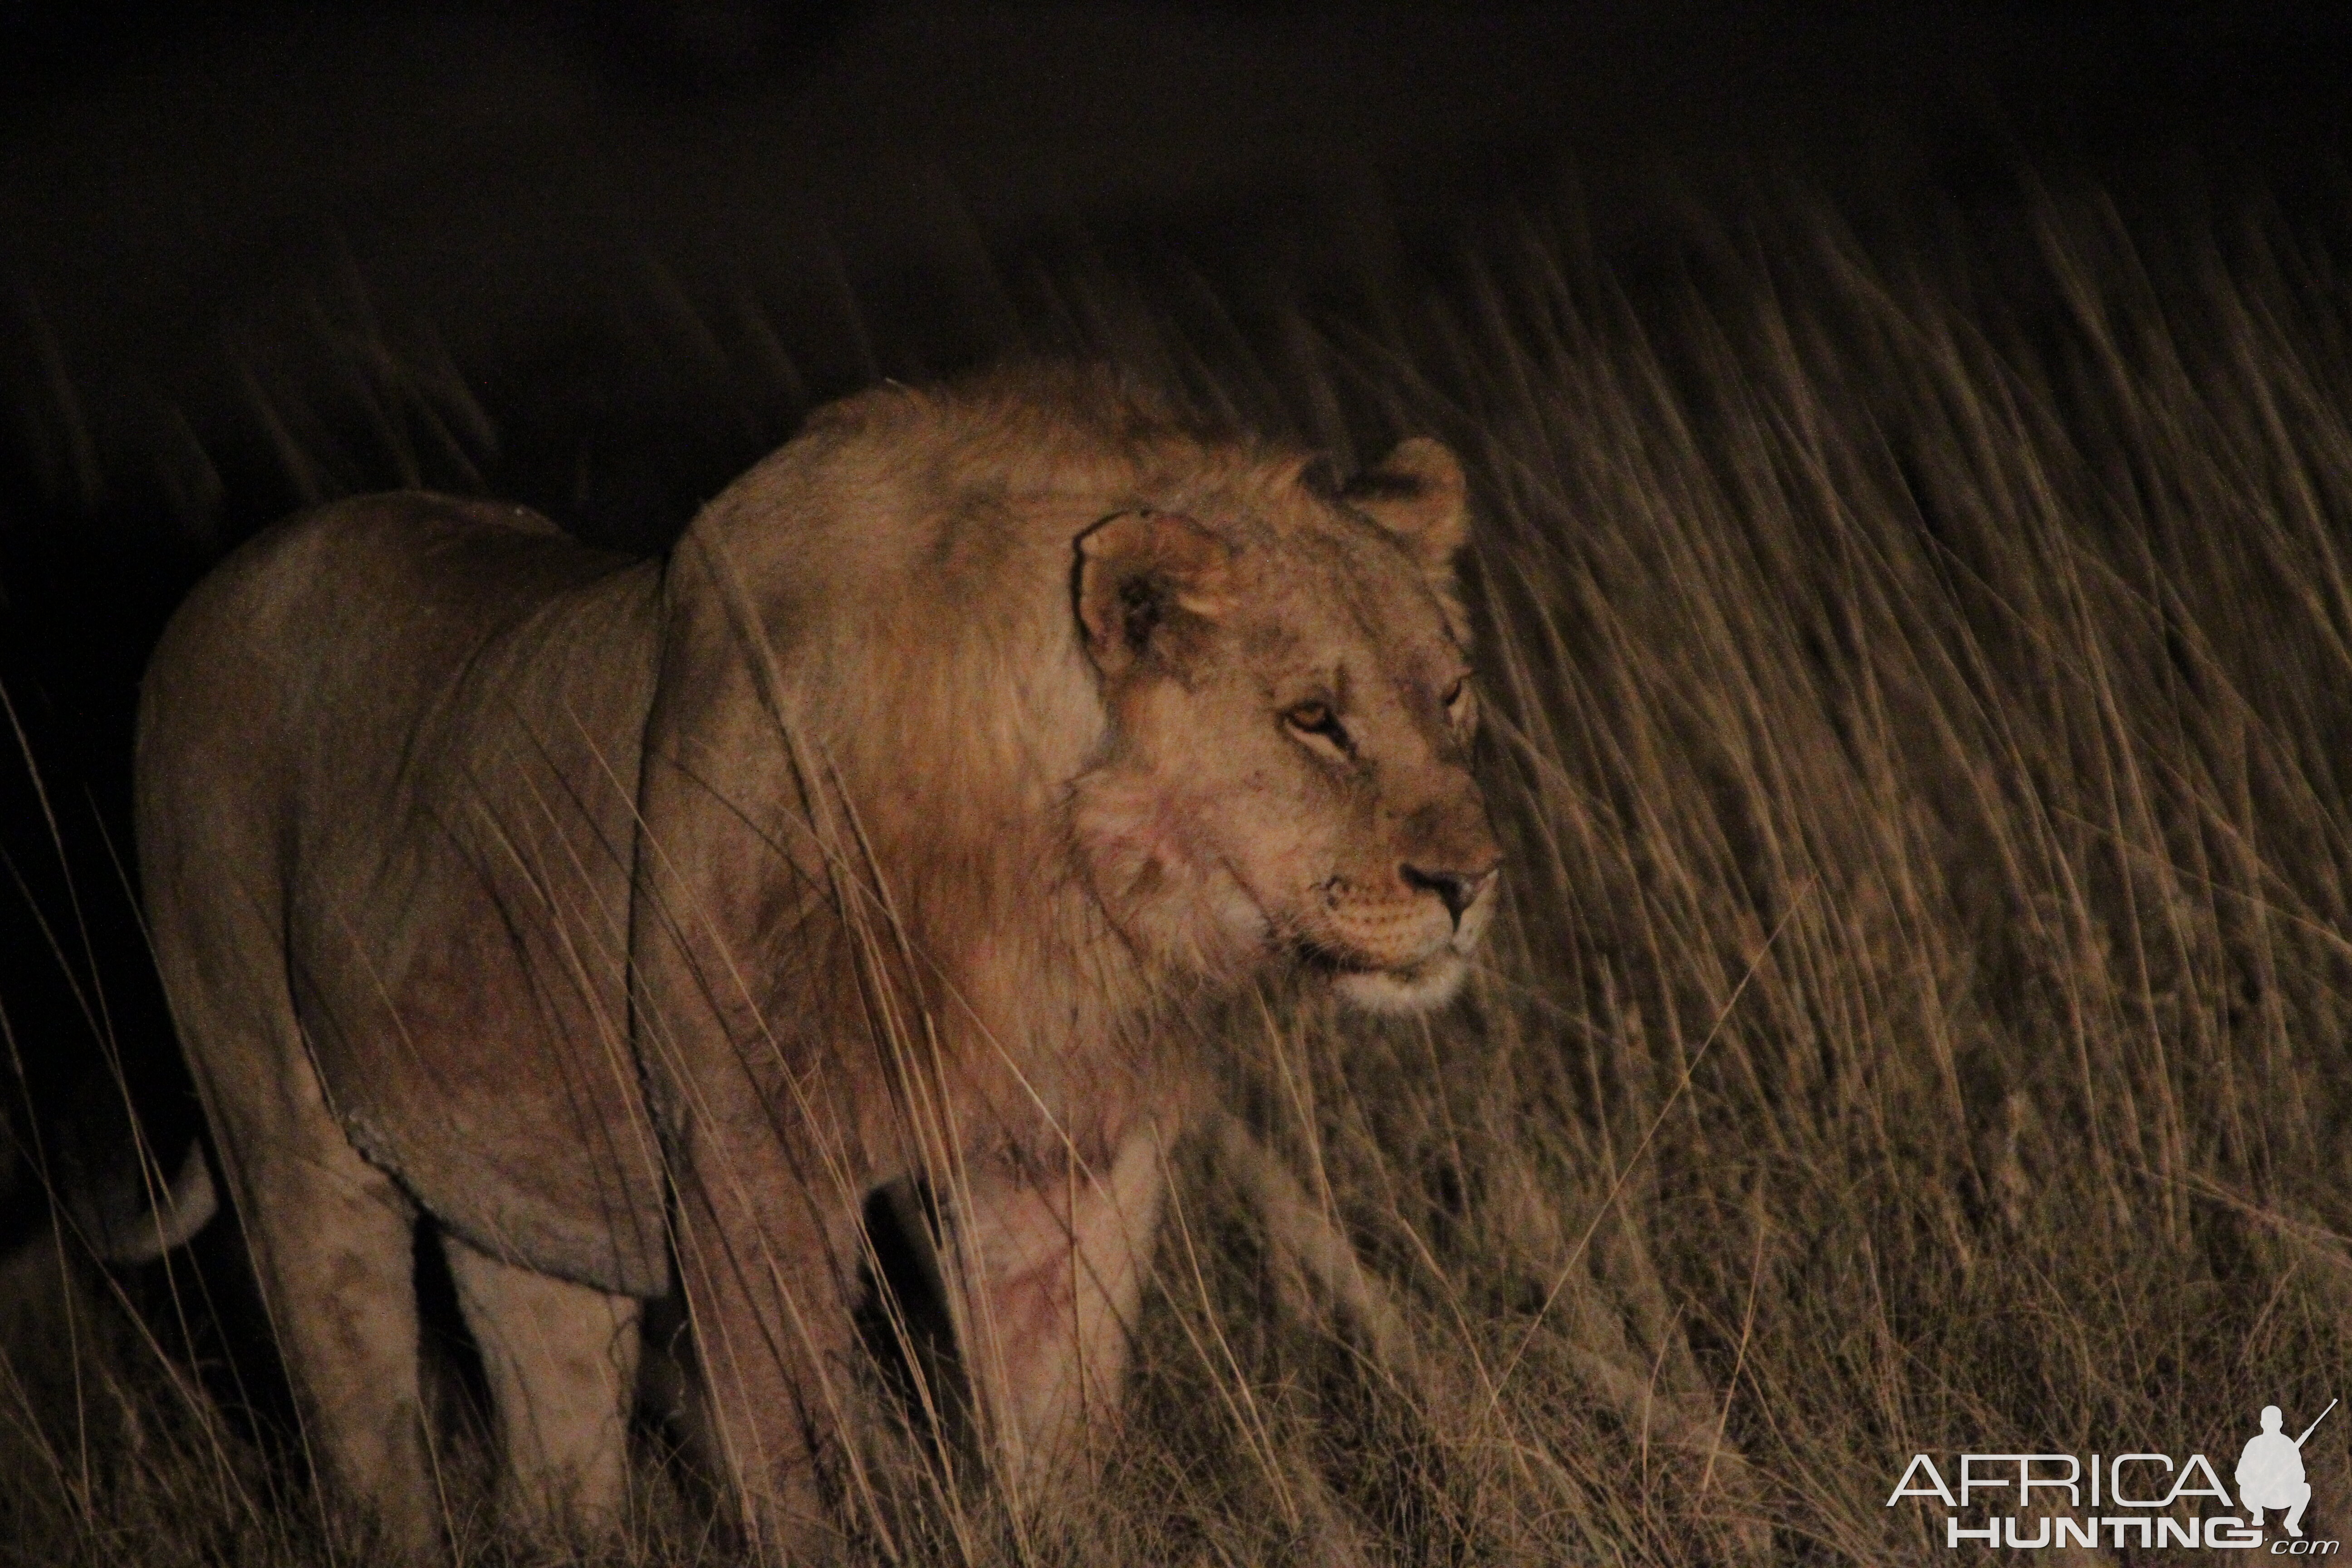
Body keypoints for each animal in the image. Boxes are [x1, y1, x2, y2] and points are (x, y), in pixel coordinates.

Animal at [137, 364, 1505, 1561]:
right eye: (1313, 719)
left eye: (1451, 697)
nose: (1471, 881)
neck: (1050, 879)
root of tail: (219, 585)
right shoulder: (750, 1157)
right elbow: (785, 1439)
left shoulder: (1067, 1147)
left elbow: (1057, 1420)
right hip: (291, 1147)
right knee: (365, 1440)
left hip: (518, 1192)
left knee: (552, 1431)